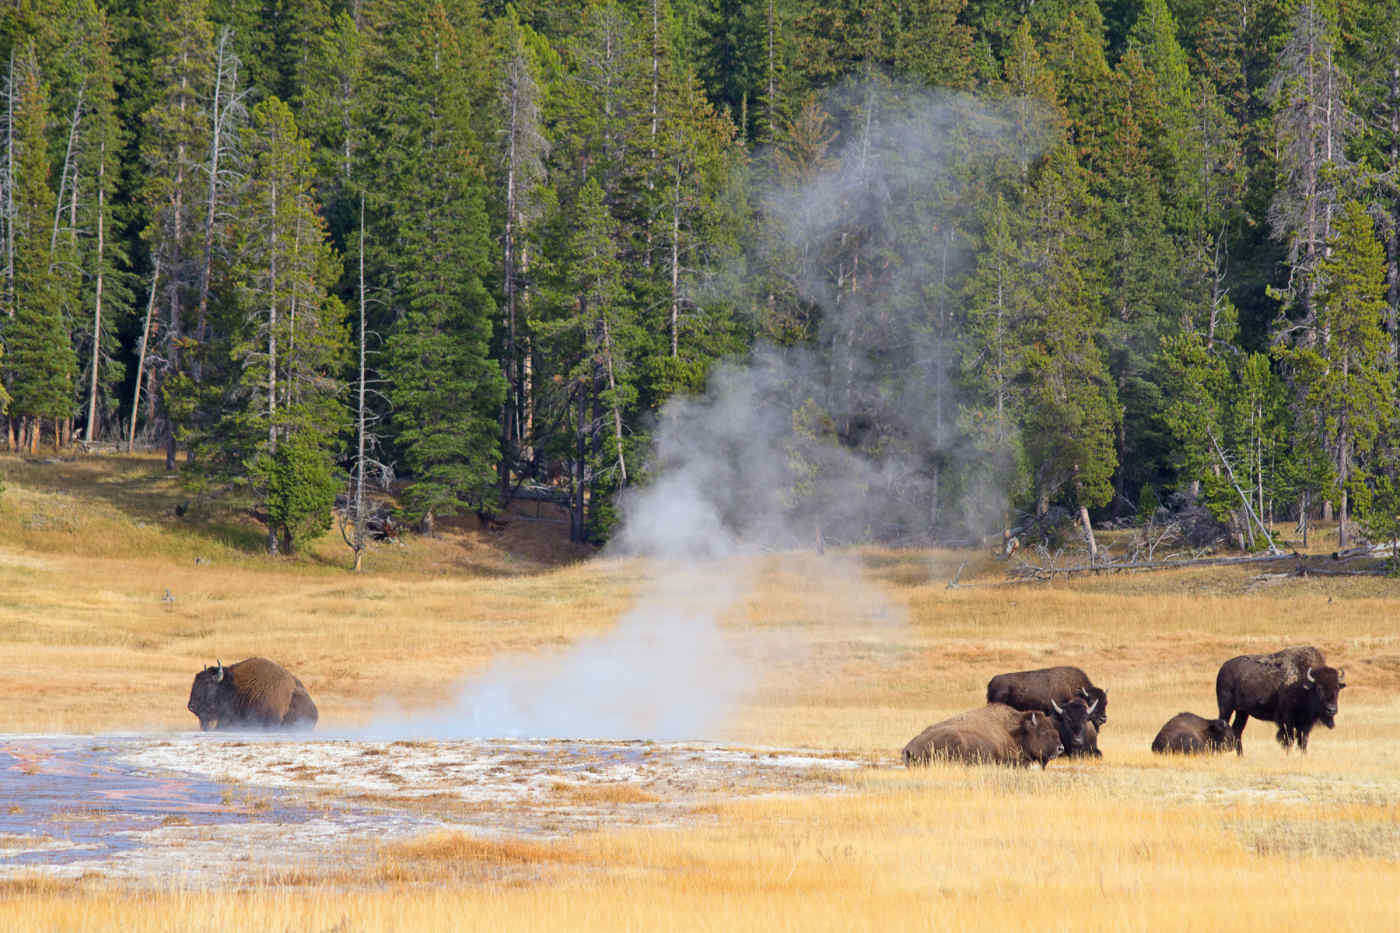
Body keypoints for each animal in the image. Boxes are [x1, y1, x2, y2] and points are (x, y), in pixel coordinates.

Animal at [1215, 644, 1344, 750]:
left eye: (1337, 688)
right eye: (1319, 689)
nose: (1331, 710)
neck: (1303, 684)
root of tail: (1223, 668)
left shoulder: (1305, 725)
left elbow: (1303, 742)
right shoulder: (1286, 722)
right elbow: (1288, 741)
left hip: (1242, 712)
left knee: (1237, 731)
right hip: (1226, 708)